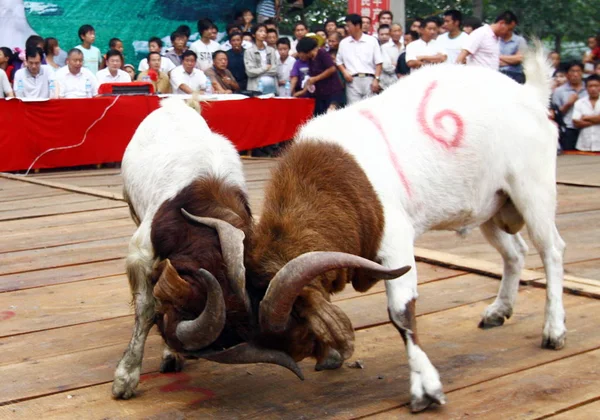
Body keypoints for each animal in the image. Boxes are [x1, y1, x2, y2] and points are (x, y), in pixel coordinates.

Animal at [288, 45, 564, 410]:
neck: (328, 181)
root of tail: (530, 94)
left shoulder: (394, 240)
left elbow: (401, 312)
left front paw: (426, 389)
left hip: (533, 190)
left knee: (551, 250)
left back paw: (554, 330)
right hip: (491, 205)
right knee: (515, 252)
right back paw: (498, 311)